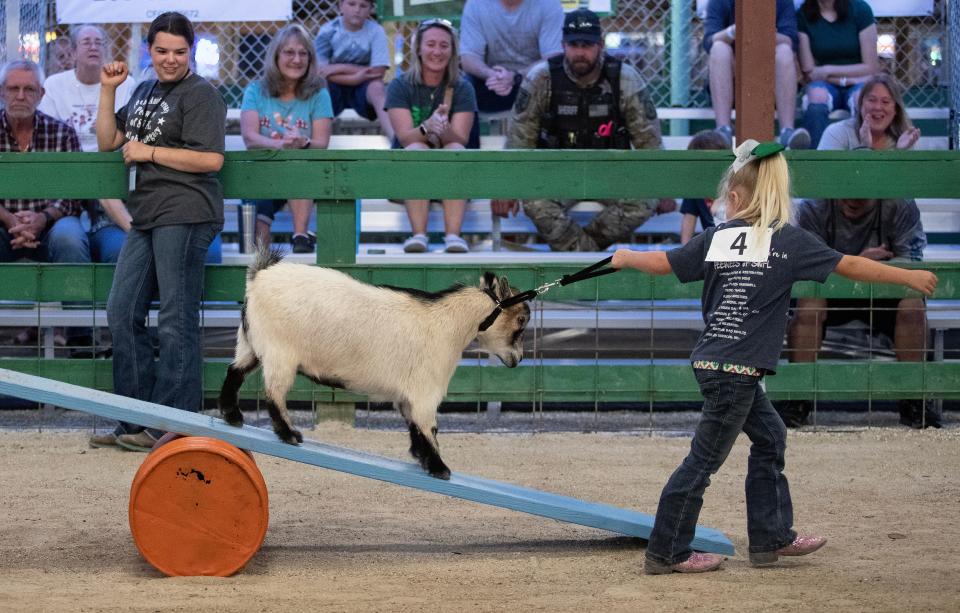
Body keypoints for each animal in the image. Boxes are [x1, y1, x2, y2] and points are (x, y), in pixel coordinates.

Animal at [218, 249, 532, 478]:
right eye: (521, 320)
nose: (518, 359)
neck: (448, 323)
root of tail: (259, 277)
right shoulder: (426, 392)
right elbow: (429, 428)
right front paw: (439, 468)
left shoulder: (407, 397)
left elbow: (416, 428)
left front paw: (422, 460)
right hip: (280, 353)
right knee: (273, 394)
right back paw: (289, 434)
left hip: (250, 344)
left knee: (234, 371)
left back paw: (232, 416)